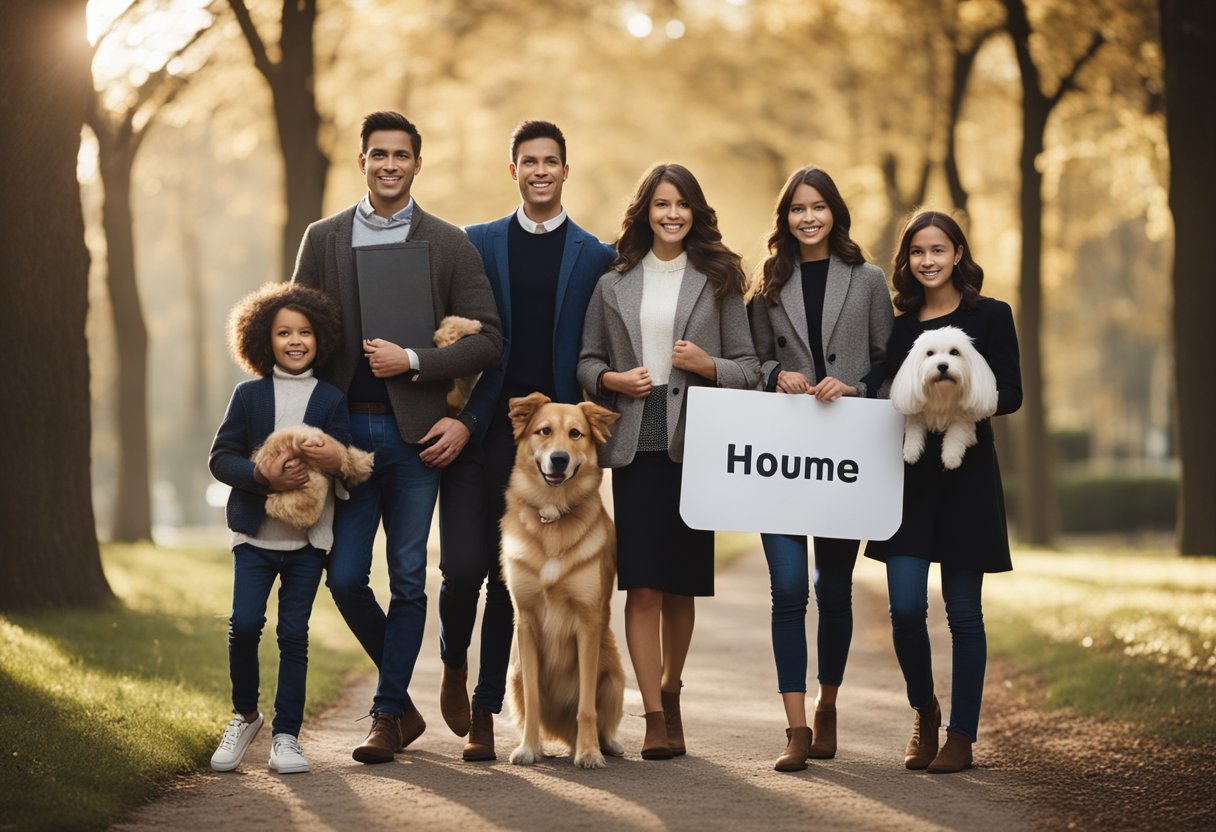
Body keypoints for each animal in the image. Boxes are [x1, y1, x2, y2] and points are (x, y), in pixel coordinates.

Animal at [498, 394, 627, 768]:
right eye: (544, 431)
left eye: (575, 434)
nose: (559, 459)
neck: (553, 515)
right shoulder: (525, 621)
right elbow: (534, 703)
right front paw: (528, 748)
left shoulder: (588, 622)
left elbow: (586, 707)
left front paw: (589, 753)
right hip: (513, 674)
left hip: (614, 674)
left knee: (602, 718)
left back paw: (604, 744)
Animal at [890, 323, 1001, 467]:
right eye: (929, 353)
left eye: (954, 352)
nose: (942, 366)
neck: (942, 393)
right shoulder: (916, 412)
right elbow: (913, 428)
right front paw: (910, 452)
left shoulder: (964, 417)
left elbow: (957, 433)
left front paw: (951, 458)